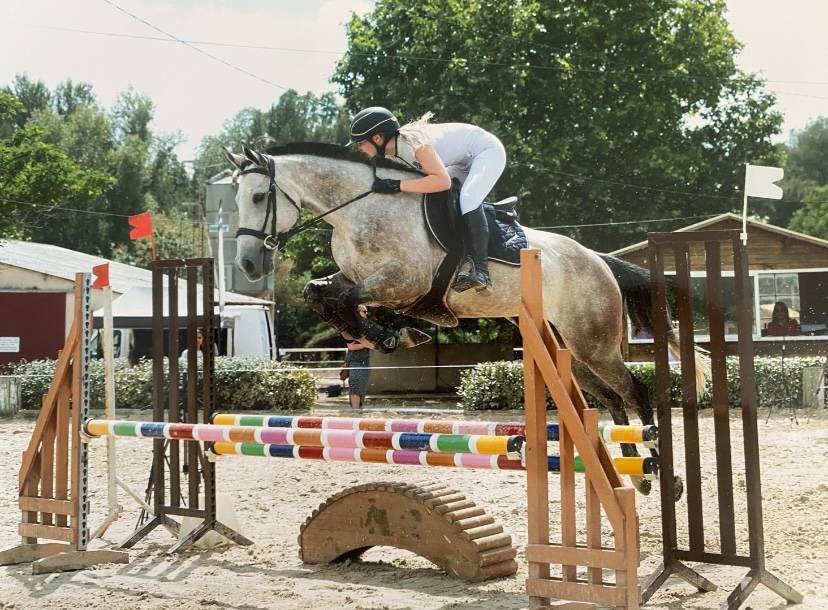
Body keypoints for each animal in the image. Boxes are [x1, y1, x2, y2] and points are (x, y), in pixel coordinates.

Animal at [223, 142, 707, 496]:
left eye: (259, 196)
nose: (247, 264)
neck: (359, 209)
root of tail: (600, 260)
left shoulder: (403, 282)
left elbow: (349, 300)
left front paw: (392, 336)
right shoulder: (358, 277)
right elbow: (321, 293)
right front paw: (379, 333)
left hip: (593, 342)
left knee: (634, 391)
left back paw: (662, 473)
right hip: (566, 348)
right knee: (609, 398)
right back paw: (636, 473)